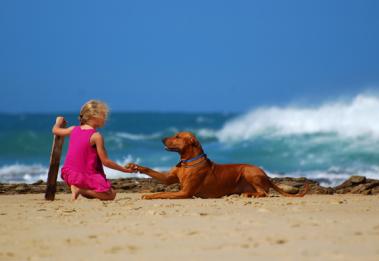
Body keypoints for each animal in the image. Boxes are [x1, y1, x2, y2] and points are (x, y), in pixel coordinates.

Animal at [127, 131, 308, 198]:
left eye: (177, 136)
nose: (162, 139)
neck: (187, 162)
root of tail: (266, 175)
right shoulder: (167, 179)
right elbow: (158, 177)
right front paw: (135, 166)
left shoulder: (185, 192)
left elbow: (162, 193)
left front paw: (149, 195)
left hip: (249, 170)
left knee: (264, 192)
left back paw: (251, 195)